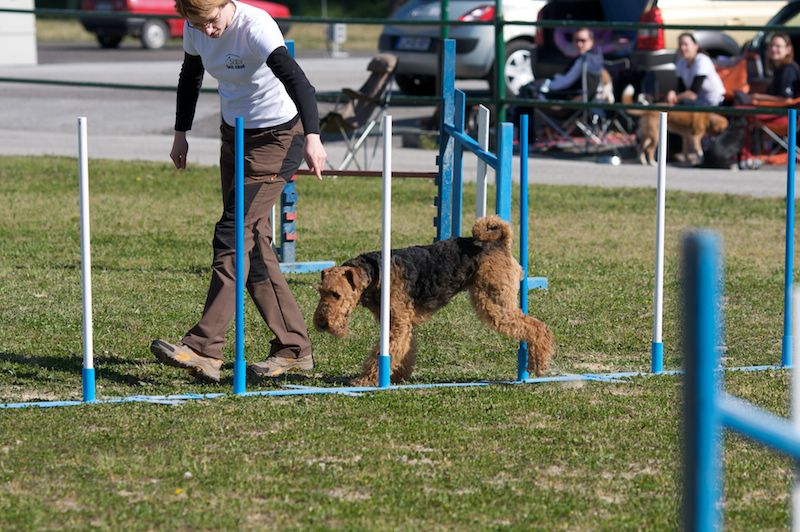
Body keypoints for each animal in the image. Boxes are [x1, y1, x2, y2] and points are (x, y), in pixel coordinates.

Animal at [312, 216, 556, 386]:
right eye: (321, 292)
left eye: (336, 294)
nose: (321, 324)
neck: (375, 274)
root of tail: (499, 243)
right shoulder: (401, 323)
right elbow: (404, 349)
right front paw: (397, 376)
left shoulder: (398, 323)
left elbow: (383, 352)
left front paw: (365, 380)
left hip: (494, 302)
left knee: (538, 327)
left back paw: (538, 364)